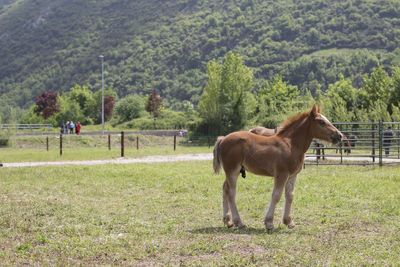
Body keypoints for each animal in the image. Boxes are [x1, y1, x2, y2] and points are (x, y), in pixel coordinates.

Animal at [214, 105, 342, 232]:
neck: (291, 145)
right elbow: (276, 195)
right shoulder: (282, 174)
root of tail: (223, 139)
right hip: (232, 170)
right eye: (321, 122)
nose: (339, 135)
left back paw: (228, 221)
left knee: (225, 188)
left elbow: (290, 196)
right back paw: (239, 222)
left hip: (233, 171)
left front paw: (289, 222)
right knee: (231, 192)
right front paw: (269, 223)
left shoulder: (293, 175)